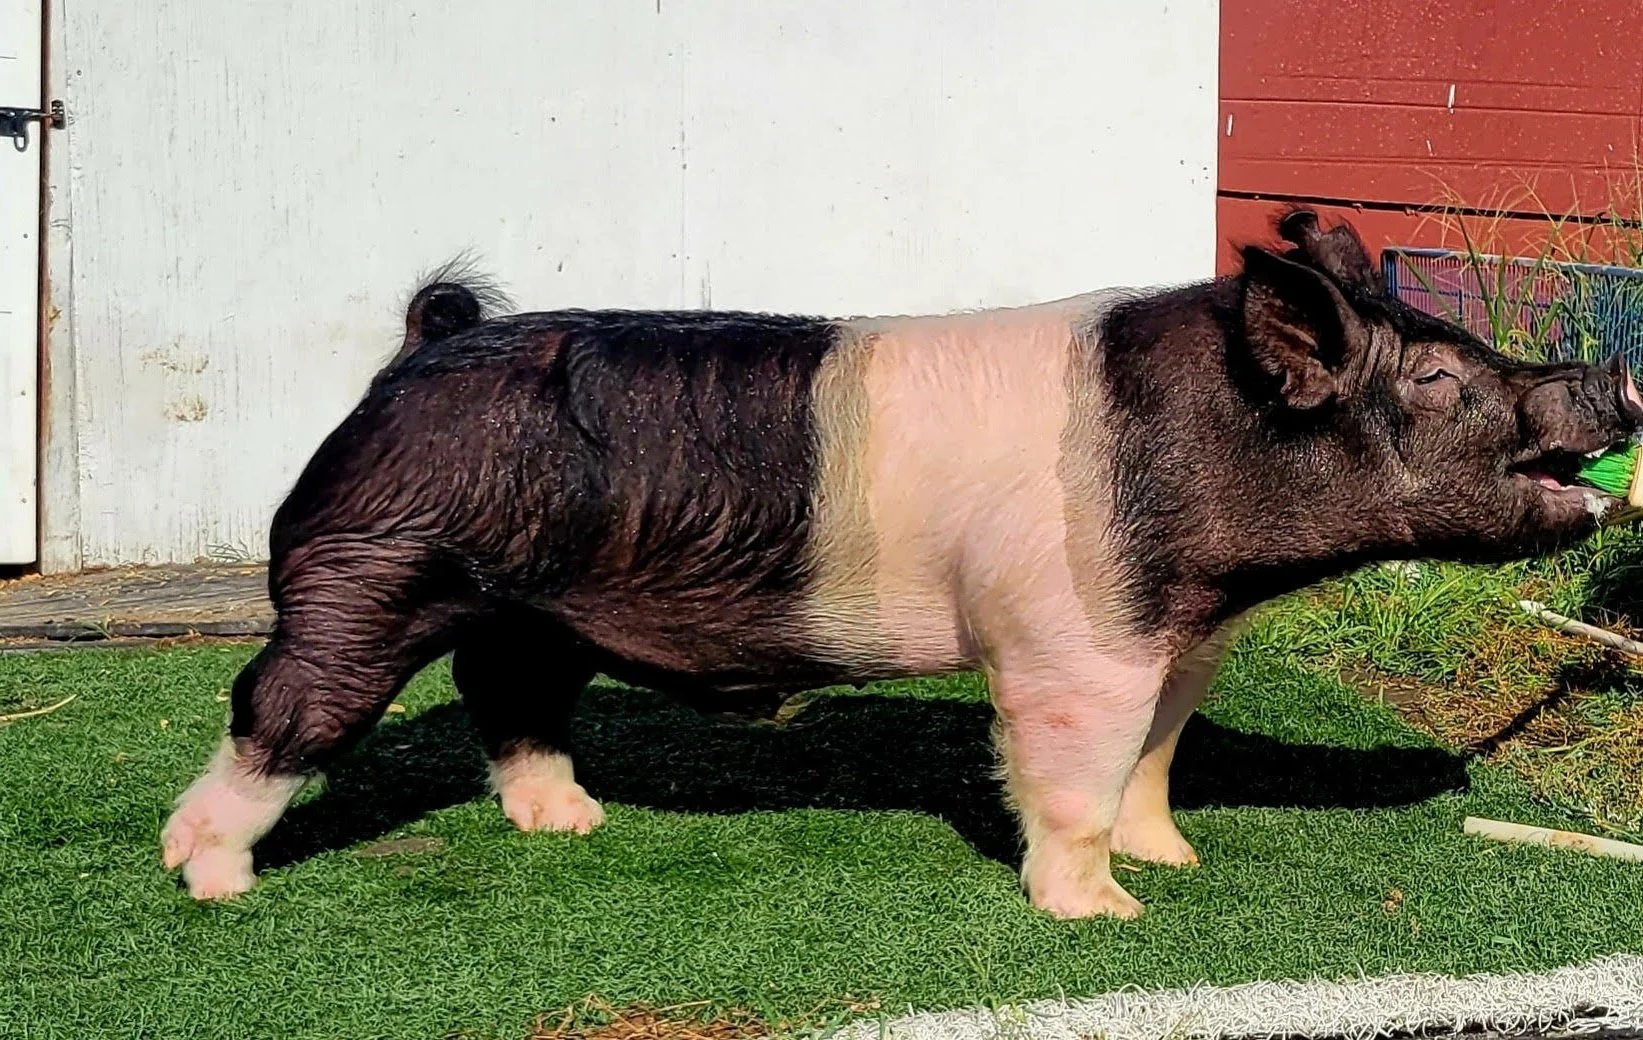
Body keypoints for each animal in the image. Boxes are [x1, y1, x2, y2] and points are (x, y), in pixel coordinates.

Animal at [161, 210, 1643, 917]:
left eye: (1467, 345)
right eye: (1439, 379)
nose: (1612, 377)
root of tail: (423, 347)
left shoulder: (1173, 642)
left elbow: (1157, 758)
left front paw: (1173, 863)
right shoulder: (1066, 641)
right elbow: (1072, 774)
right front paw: (1105, 915)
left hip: (530, 606)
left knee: (508, 694)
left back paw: (569, 823)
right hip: (366, 566)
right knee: (279, 704)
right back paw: (211, 878)